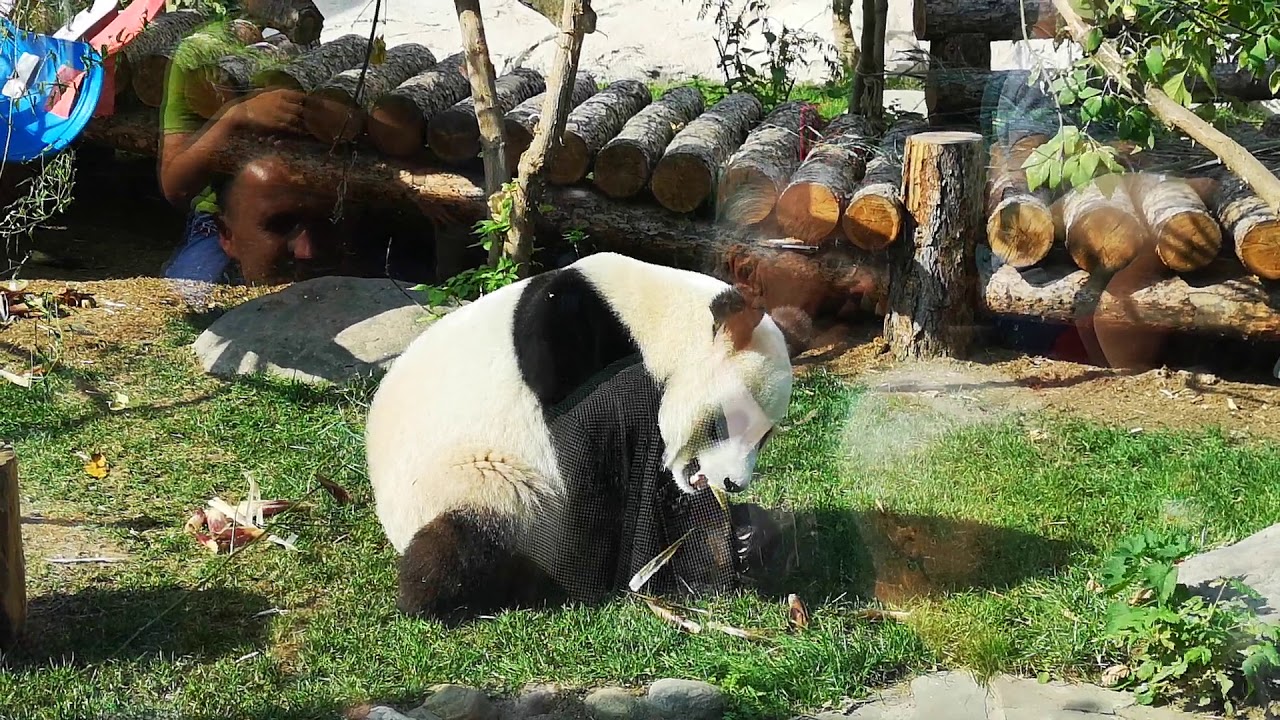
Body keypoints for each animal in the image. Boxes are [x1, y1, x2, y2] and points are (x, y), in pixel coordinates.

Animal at [366, 249, 793, 620]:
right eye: (729, 422)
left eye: (764, 437)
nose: (734, 483)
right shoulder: (570, 336)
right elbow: (590, 445)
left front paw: (737, 540)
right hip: (471, 482)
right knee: (470, 534)